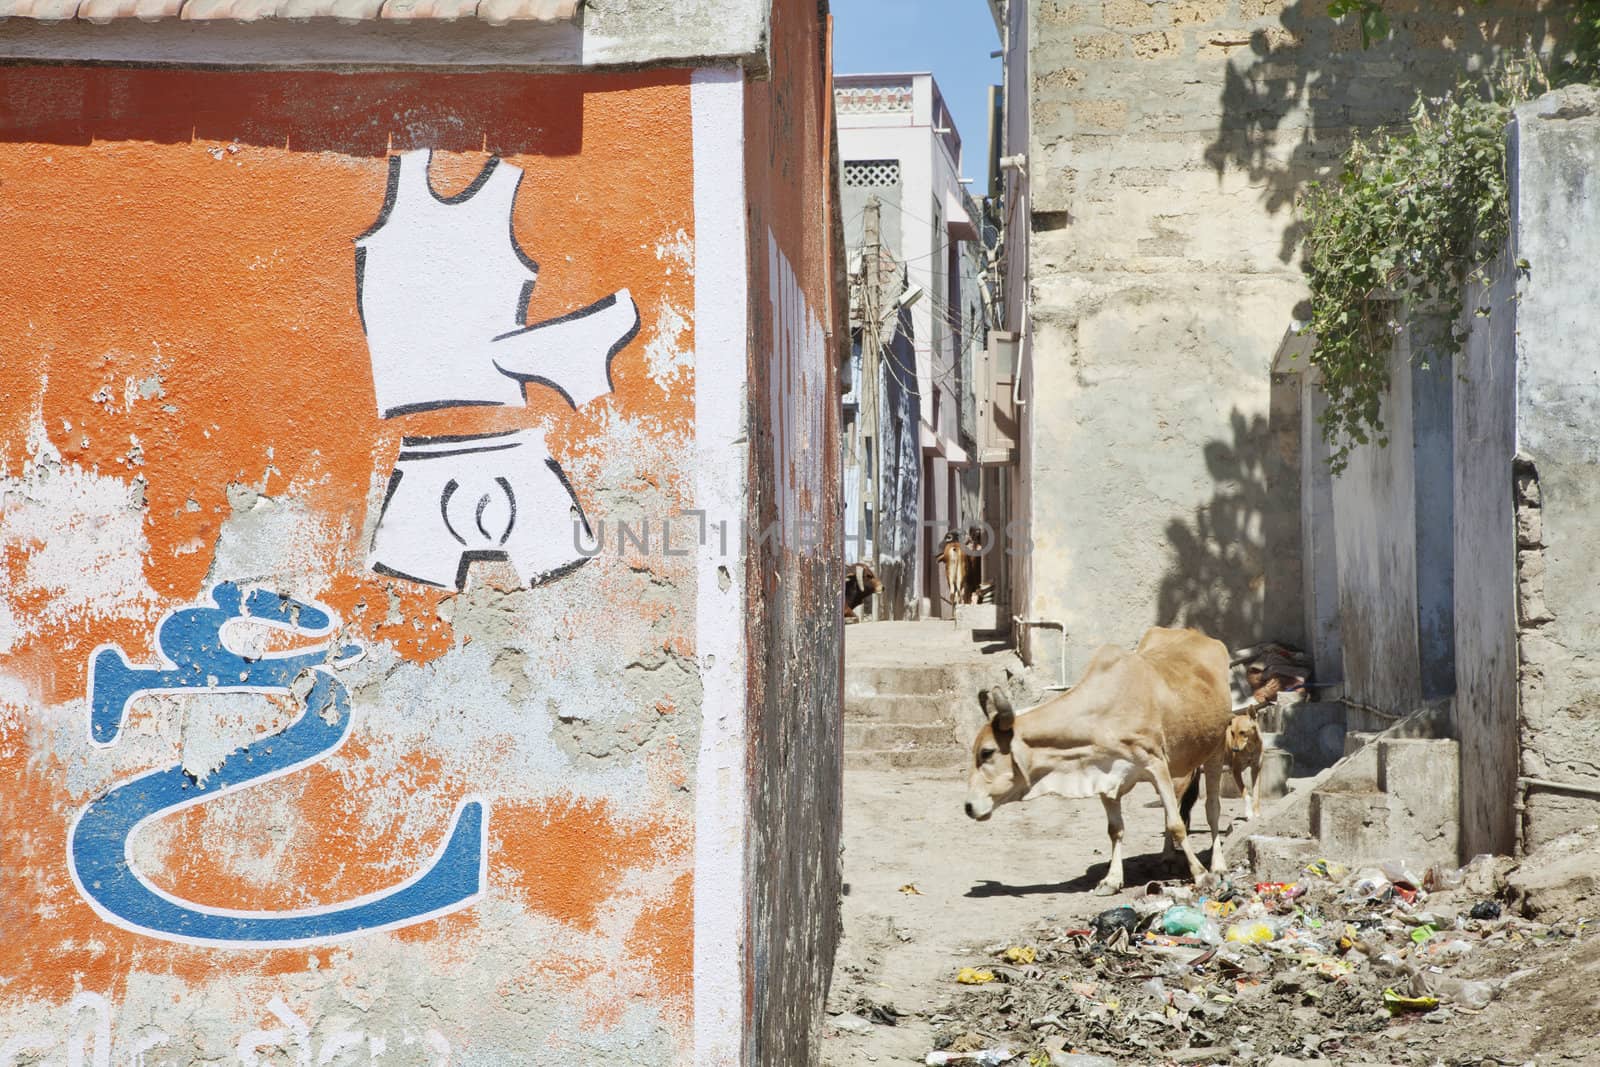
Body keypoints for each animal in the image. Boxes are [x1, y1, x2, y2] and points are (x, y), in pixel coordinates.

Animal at [960, 627, 1235, 895]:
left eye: (987, 752)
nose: (969, 807)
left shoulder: (1155, 764)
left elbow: (1177, 824)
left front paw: (1201, 874)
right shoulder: (1104, 776)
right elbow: (1116, 829)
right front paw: (1111, 880)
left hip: (1215, 748)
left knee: (1211, 809)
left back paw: (1218, 865)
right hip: (1180, 765)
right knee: (1178, 804)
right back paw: (1166, 857)